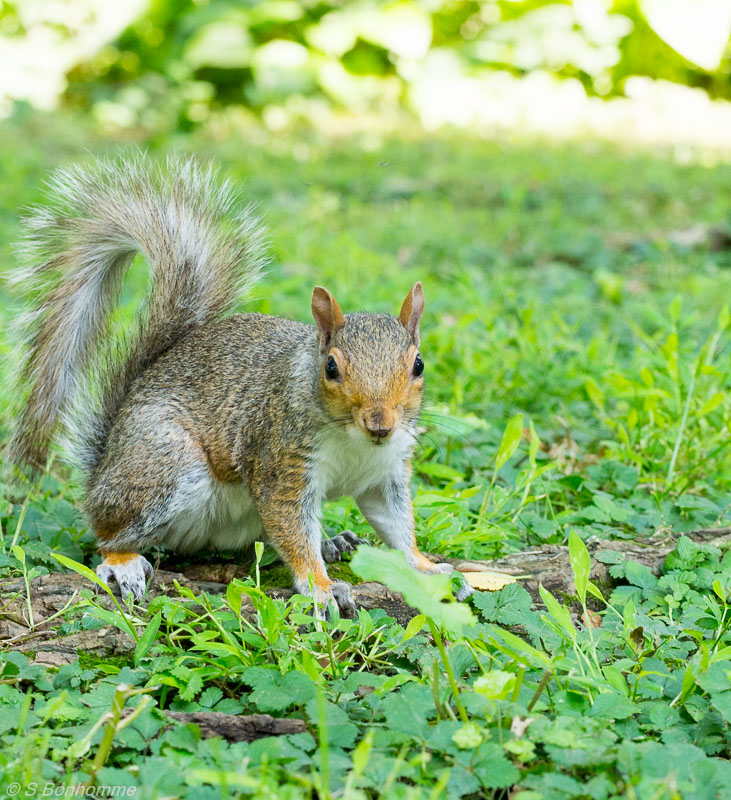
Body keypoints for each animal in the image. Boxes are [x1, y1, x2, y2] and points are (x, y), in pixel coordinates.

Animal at [8, 155, 472, 620]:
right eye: (331, 368)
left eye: (418, 364)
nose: (380, 423)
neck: (353, 440)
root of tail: (104, 468)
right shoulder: (281, 462)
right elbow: (291, 525)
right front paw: (322, 588)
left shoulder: (386, 472)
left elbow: (396, 524)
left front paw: (429, 568)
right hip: (164, 465)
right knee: (106, 533)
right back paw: (123, 562)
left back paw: (331, 542)